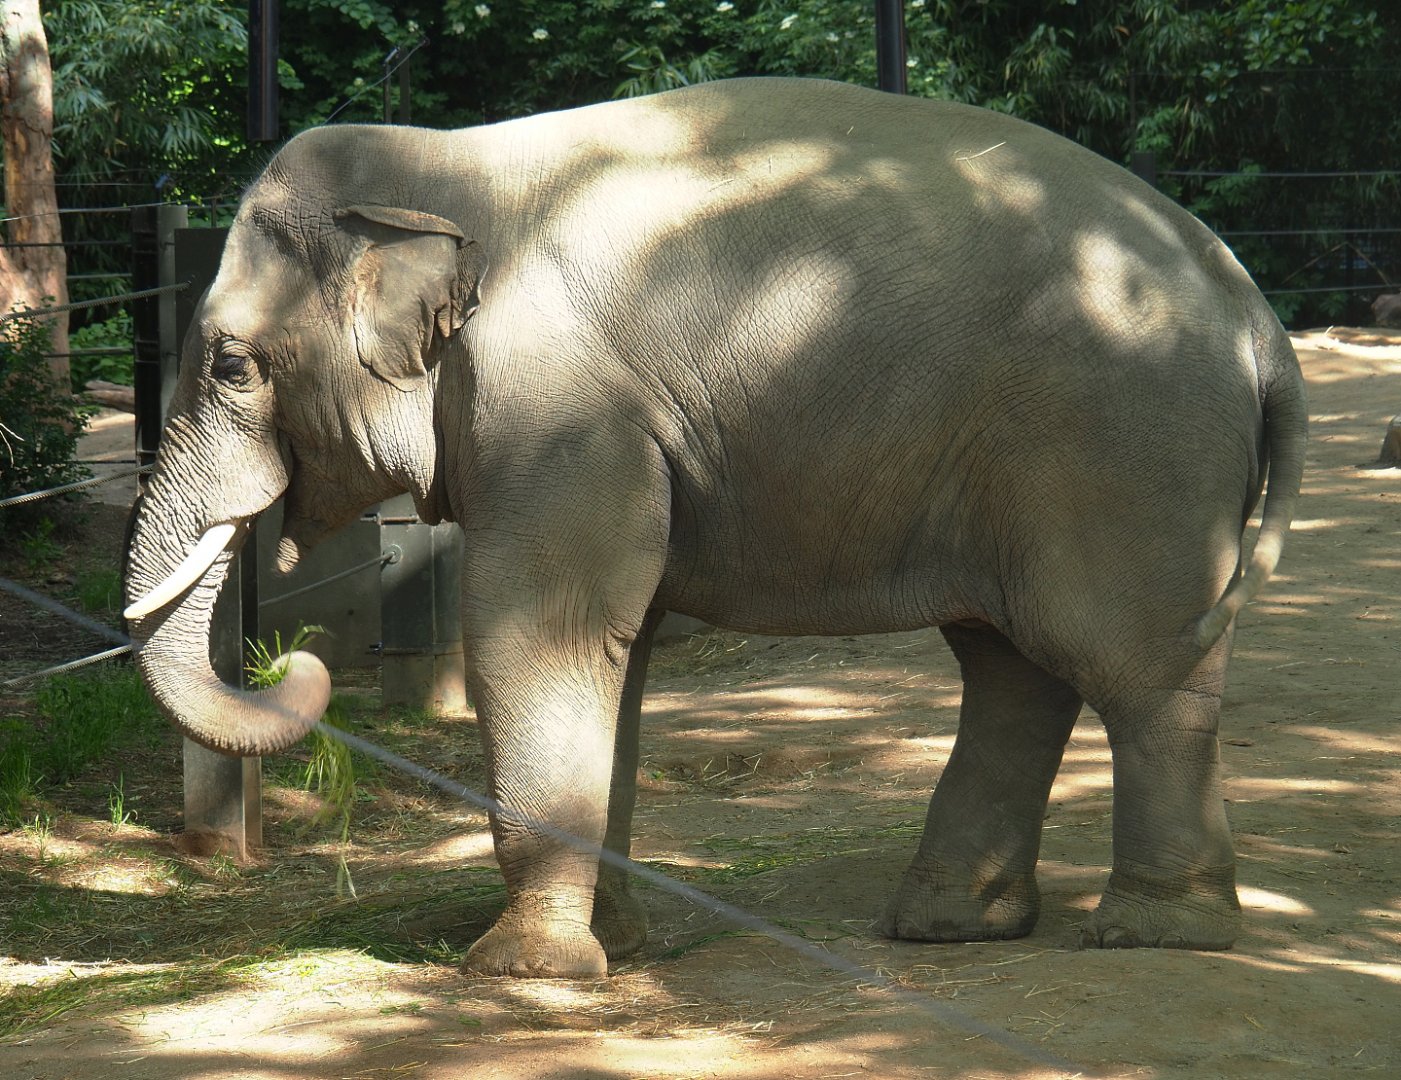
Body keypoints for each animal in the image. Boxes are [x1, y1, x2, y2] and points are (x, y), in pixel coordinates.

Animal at [123, 77, 1307, 978]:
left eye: (229, 364)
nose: (297, 667)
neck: (440, 171)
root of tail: (1252, 308)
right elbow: (617, 648)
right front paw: (620, 949)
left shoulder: (560, 412)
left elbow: (536, 633)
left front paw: (524, 972)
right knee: (1014, 665)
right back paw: (952, 925)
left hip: (1122, 450)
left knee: (1132, 666)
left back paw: (1155, 933)